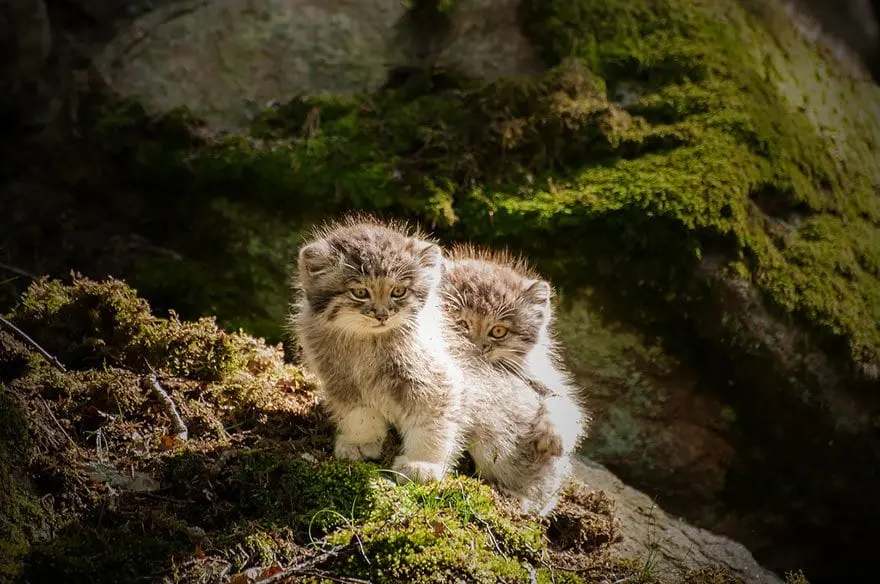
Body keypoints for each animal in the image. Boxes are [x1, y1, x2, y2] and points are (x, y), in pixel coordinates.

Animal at [288, 214, 468, 484]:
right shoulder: (342, 380)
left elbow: (432, 423)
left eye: (398, 291)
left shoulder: (432, 379)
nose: (382, 315)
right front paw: (361, 441)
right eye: (361, 292)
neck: (368, 346)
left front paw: (423, 463)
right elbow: (359, 414)